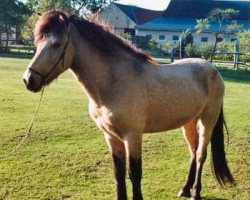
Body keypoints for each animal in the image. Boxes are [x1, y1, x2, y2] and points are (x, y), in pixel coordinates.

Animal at [22, 10, 235, 200]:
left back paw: (195, 193)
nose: (29, 80)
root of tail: (212, 69)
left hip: (207, 121)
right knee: (193, 151)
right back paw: (184, 189)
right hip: (188, 122)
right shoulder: (111, 136)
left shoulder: (132, 136)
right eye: (37, 43)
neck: (114, 82)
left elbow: (135, 173)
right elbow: (119, 173)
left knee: (200, 154)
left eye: (57, 44)